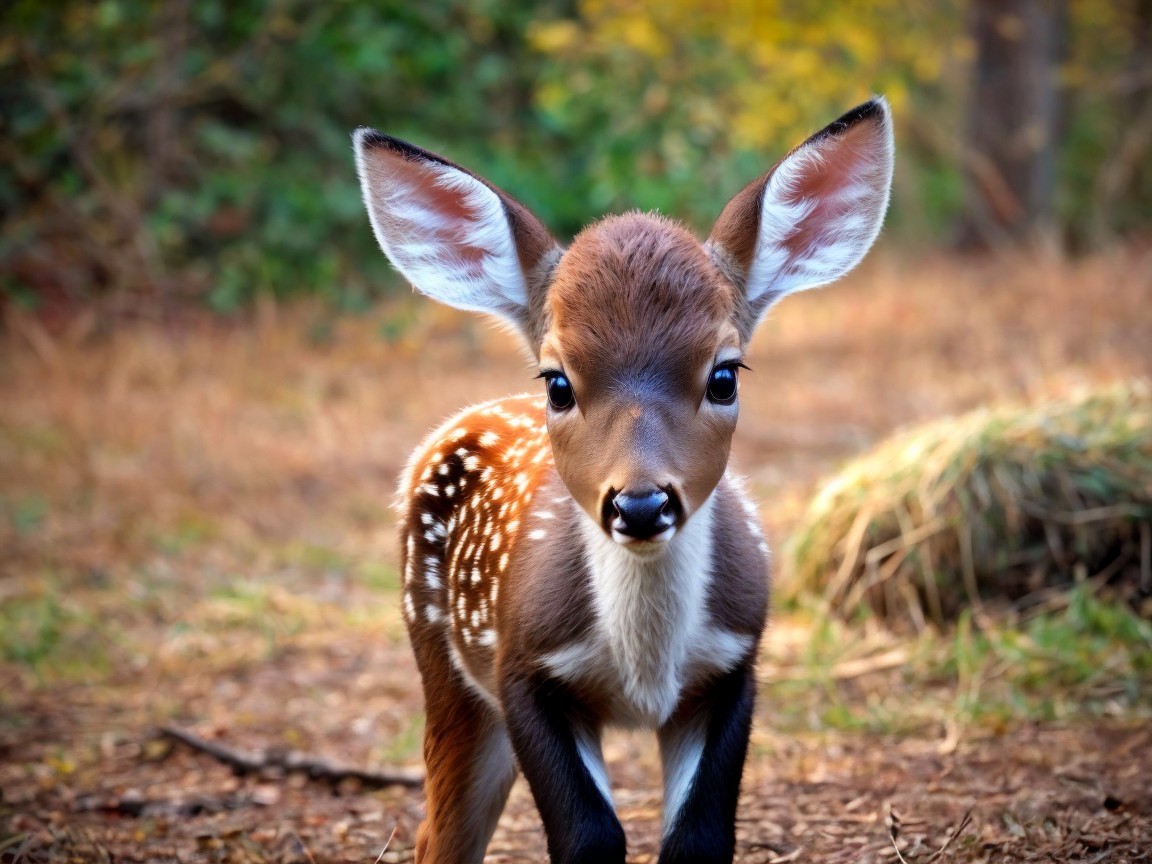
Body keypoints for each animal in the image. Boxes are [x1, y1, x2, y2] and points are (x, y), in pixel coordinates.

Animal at [353, 97, 894, 864]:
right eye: (558, 382)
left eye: (724, 375)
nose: (640, 503)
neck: (645, 671)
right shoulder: (524, 667)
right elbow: (589, 838)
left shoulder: (734, 663)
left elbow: (698, 839)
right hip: (439, 652)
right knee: (442, 833)